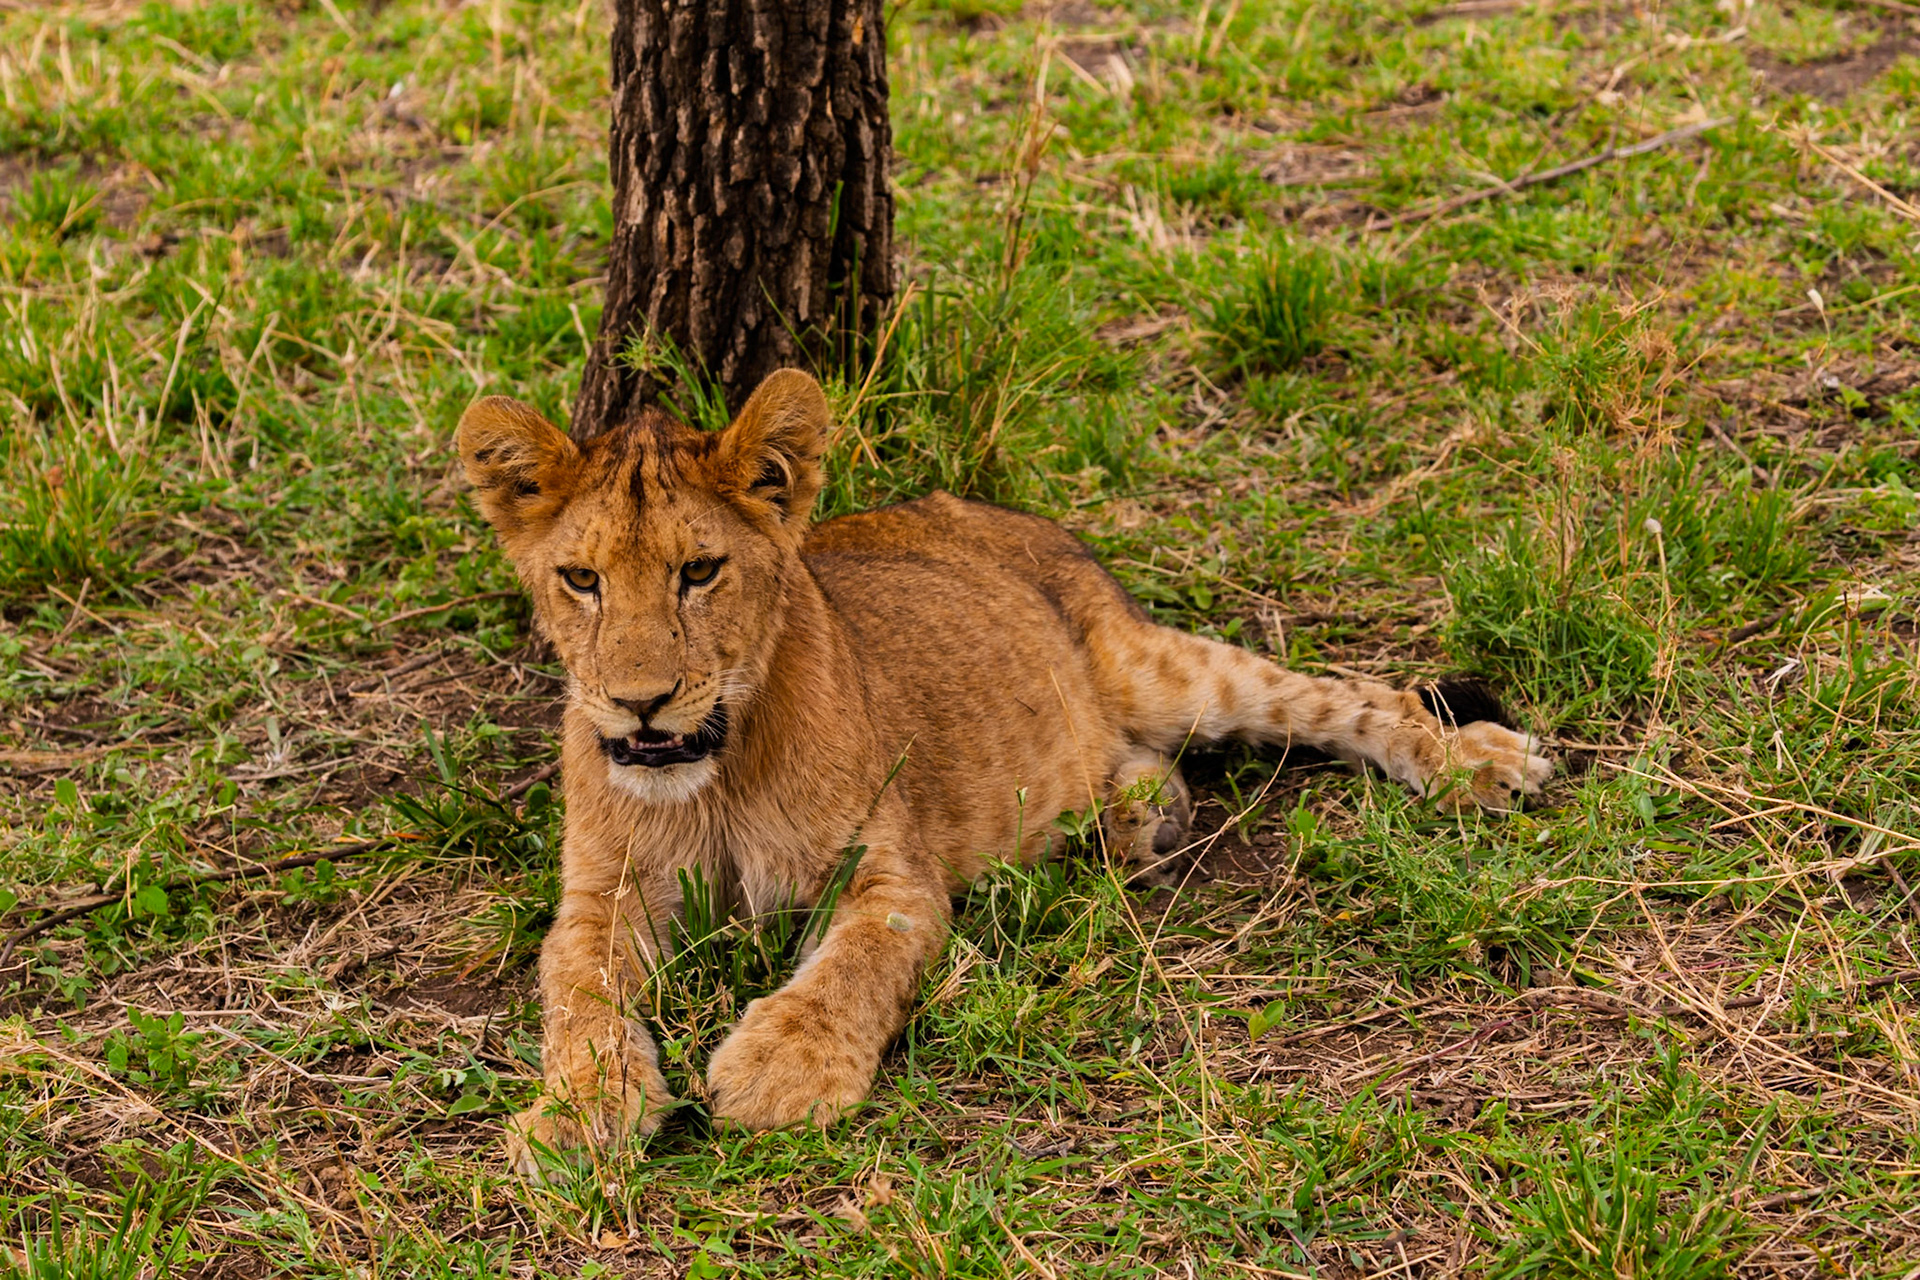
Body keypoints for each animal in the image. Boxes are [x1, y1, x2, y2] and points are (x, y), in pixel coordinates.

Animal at [455, 369, 1551, 1177]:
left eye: (699, 571)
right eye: (582, 579)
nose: (640, 703)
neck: (712, 775)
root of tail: (996, 508)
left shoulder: (891, 869)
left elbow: (855, 963)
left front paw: (784, 1066)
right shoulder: (602, 894)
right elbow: (577, 995)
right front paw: (577, 1112)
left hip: (1161, 668)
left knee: (1339, 698)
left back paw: (1481, 764)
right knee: (1146, 761)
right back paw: (1139, 820)